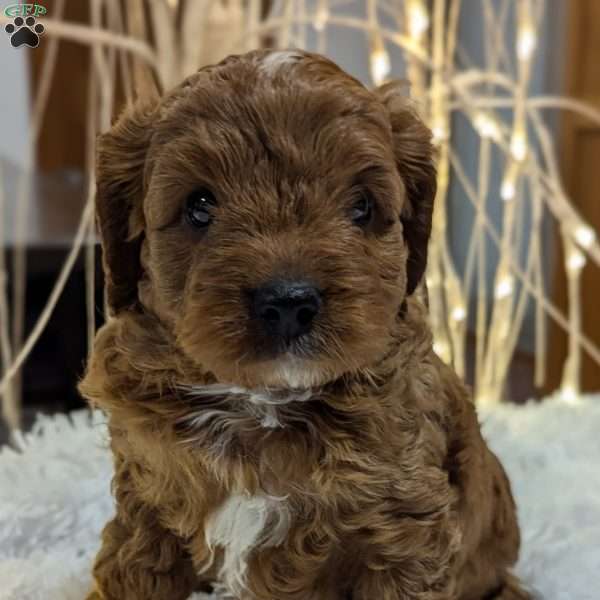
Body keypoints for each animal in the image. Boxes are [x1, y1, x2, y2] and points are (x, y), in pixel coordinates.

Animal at [81, 49, 528, 596]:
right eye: (199, 205)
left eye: (362, 206)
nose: (289, 301)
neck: (262, 405)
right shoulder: (146, 506)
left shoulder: (405, 532)